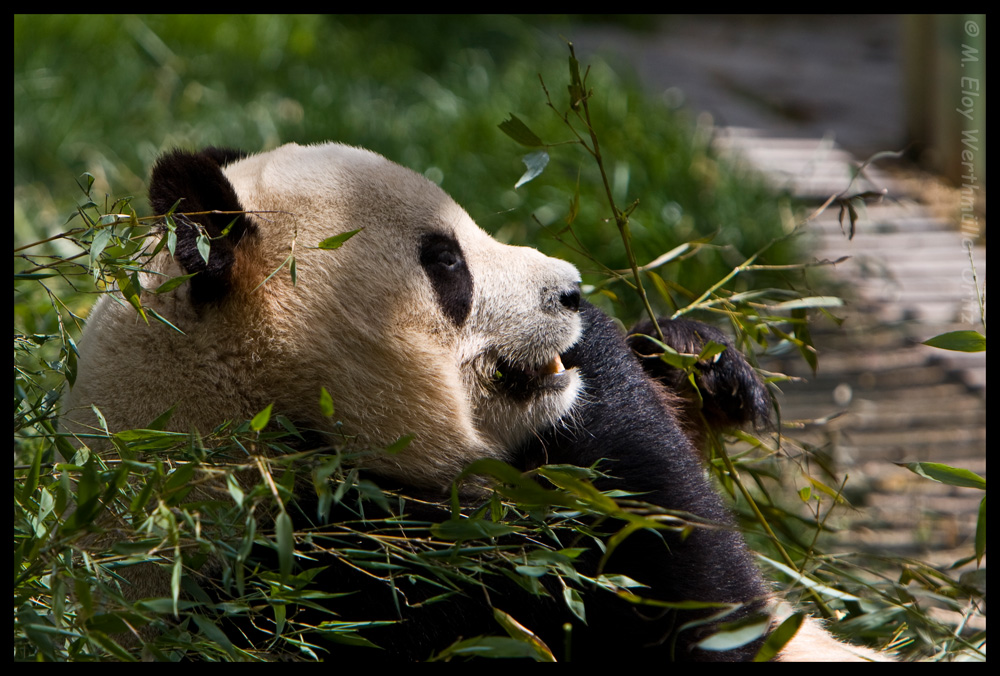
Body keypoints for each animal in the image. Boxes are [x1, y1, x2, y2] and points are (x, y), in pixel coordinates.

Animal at [62, 141, 888, 660]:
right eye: (446, 262)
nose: (572, 291)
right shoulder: (346, 578)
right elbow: (688, 610)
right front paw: (607, 359)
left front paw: (696, 359)